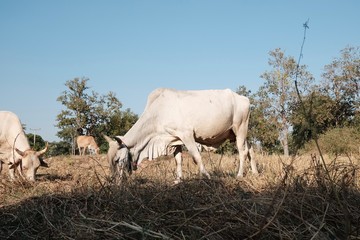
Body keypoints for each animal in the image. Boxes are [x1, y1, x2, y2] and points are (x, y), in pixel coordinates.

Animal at [105, 88, 258, 182]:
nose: (115, 182)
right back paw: (255, 172)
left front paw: (207, 176)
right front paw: (178, 180)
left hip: (240, 128)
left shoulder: (187, 135)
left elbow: (196, 157)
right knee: (250, 148)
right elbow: (178, 160)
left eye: (117, 160)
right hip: (235, 134)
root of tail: (243, 98)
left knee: (242, 151)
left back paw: (239, 175)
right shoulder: (175, 139)